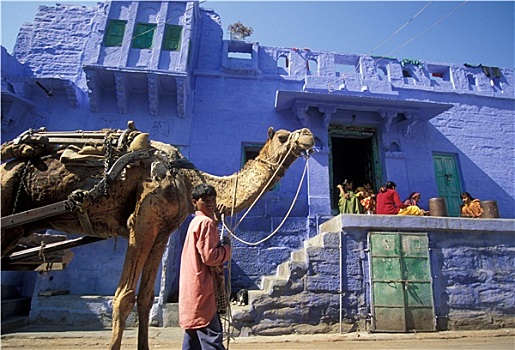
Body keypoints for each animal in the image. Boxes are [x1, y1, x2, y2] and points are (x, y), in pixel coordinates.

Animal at [0, 124, 316, 348]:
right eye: (283, 137)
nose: (309, 135)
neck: (186, 179)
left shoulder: (162, 231)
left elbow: (145, 297)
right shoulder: (142, 222)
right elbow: (123, 296)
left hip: (16, 229)